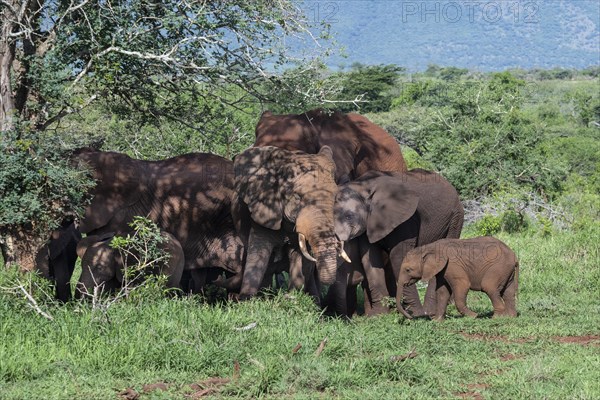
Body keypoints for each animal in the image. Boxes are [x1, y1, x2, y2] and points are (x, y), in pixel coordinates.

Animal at [231, 145, 352, 300]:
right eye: (297, 197)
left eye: (335, 198)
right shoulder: (263, 210)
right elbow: (259, 251)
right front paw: (247, 299)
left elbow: (299, 256)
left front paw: (292, 297)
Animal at [328, 170, 464, 318]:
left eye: (348, 216)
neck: (363, 186)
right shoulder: (369, 224)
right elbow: (370, 260)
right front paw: (378, 315)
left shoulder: (406, 220)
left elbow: (398, 257)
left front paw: (416, 314)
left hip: (455, 219)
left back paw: (430, 312)